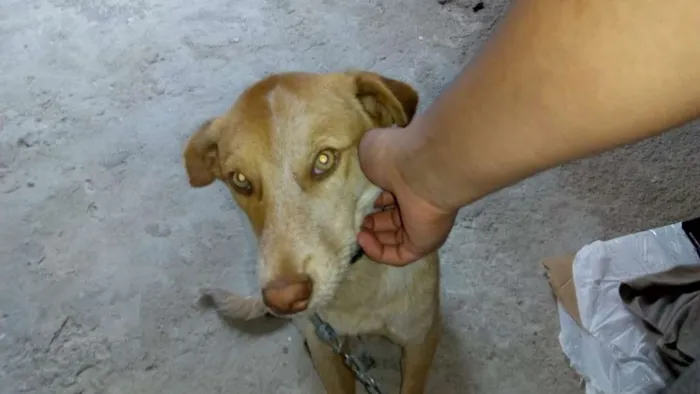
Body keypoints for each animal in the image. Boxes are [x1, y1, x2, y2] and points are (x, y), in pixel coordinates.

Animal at [183, 71, 440, 394]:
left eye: (324, 160)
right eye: (240, 180)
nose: (284, 299)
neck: (354, 285)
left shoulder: (420, 340)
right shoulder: (326, 352)